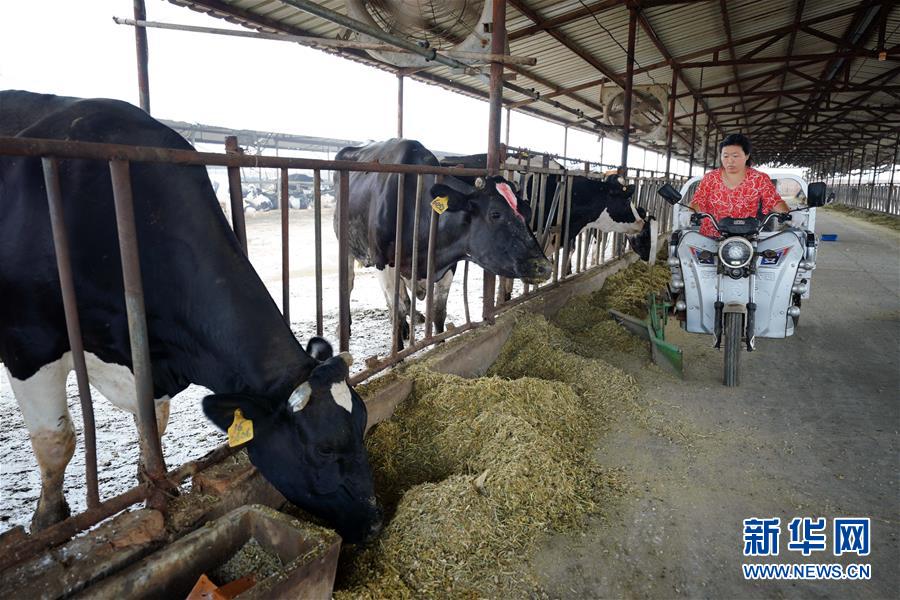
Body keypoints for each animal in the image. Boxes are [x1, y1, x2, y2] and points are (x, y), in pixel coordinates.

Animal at [0, 90, 381, 543]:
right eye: (324, 448)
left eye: (362, 424)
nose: (375, 522)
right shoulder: (28, 341)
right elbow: (56, 441)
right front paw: (48, 524)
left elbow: (153, 424)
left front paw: (156, 489)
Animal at [333, 139, 552, 342]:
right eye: (495, 214)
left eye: (527, 212)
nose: (545, 267)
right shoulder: (384, 263)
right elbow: (398, 311)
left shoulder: (447, 262)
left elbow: (438, 312)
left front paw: (437, 342)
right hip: (346, 244)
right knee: (350, 285)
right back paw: (345, 328)